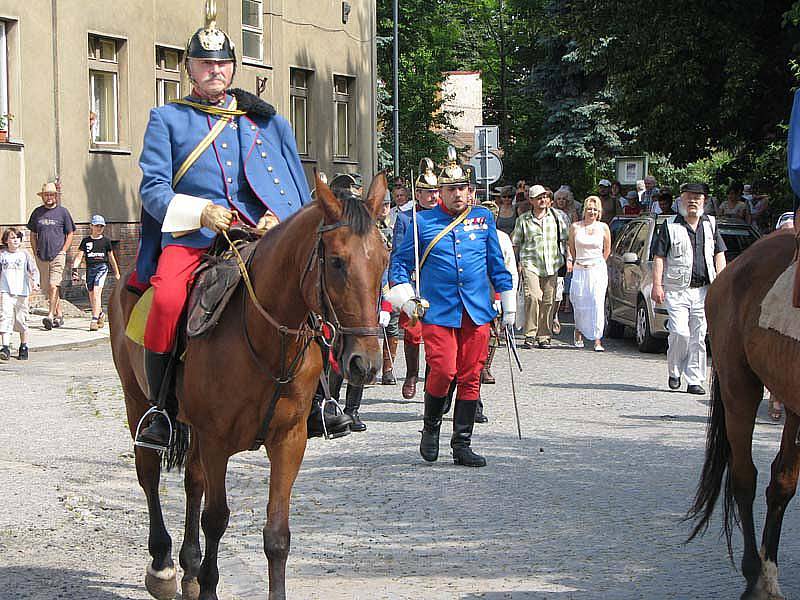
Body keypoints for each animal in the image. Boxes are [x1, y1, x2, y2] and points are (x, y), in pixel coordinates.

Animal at [110, 171, 390, 596]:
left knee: (193, 483)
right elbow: (216, 518)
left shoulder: (289, 440)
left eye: (385, 260)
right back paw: (162, 567)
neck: (266, 338)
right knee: (150, 475)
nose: (366, 363)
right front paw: (209, 586)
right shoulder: (216, 440)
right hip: (137, 401)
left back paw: (189, 568)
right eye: (337, 261)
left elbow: (276, 534)